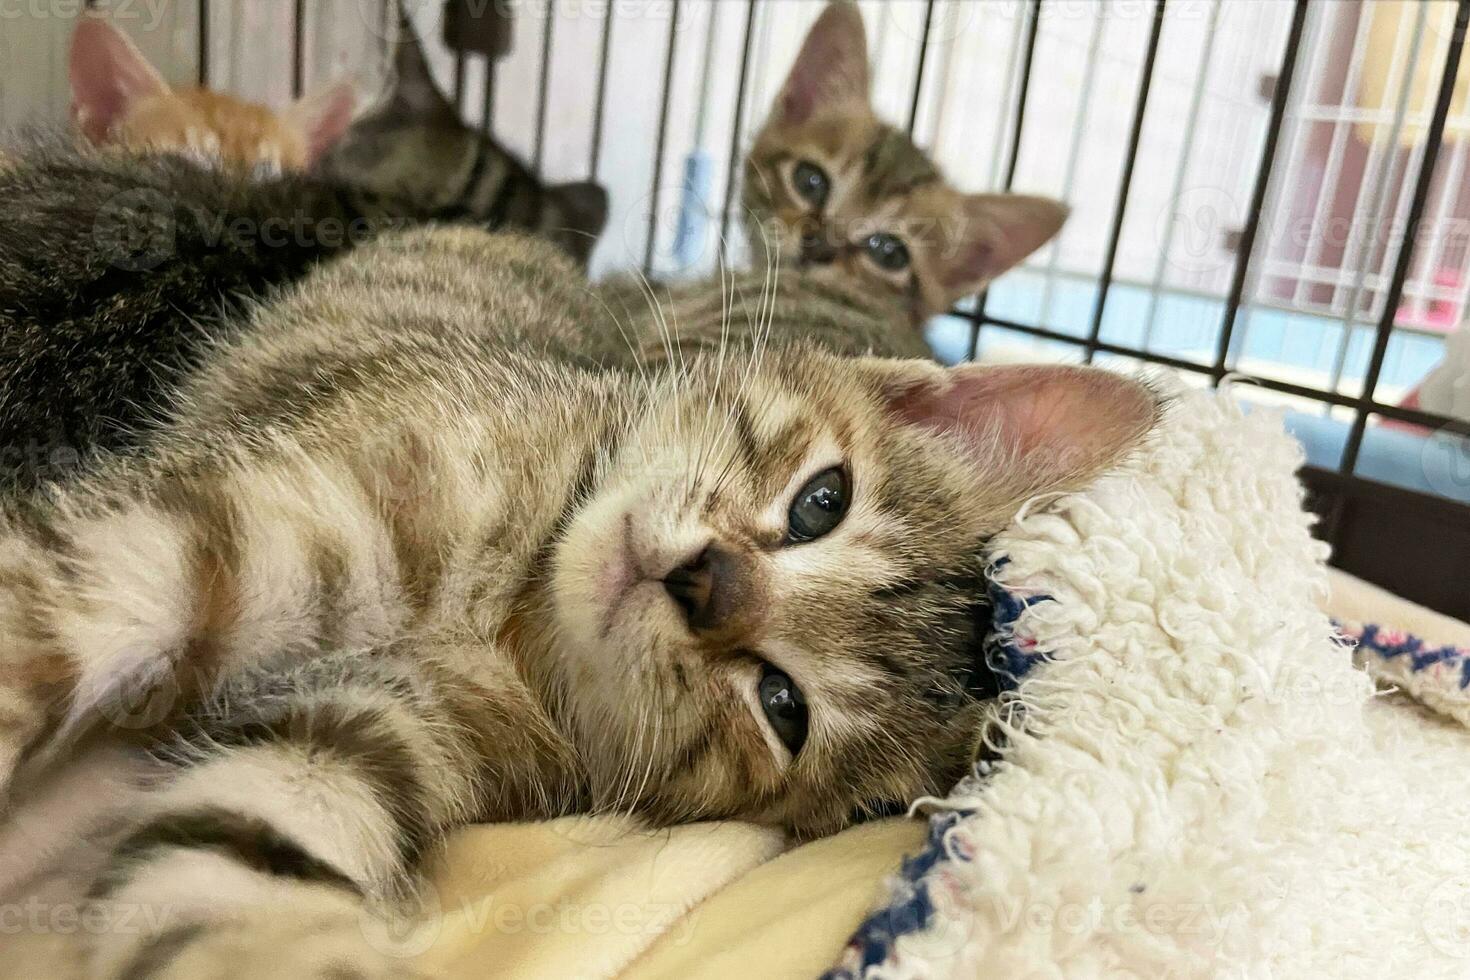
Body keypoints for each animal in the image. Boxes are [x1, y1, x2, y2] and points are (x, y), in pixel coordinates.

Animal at [0, 226, 1152, 975]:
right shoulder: (237, 517)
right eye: (822, 501)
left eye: (783, 705)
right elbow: (38, 621)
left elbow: (232, 860)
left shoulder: (363, 740)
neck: (505, 612)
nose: (705, 583)